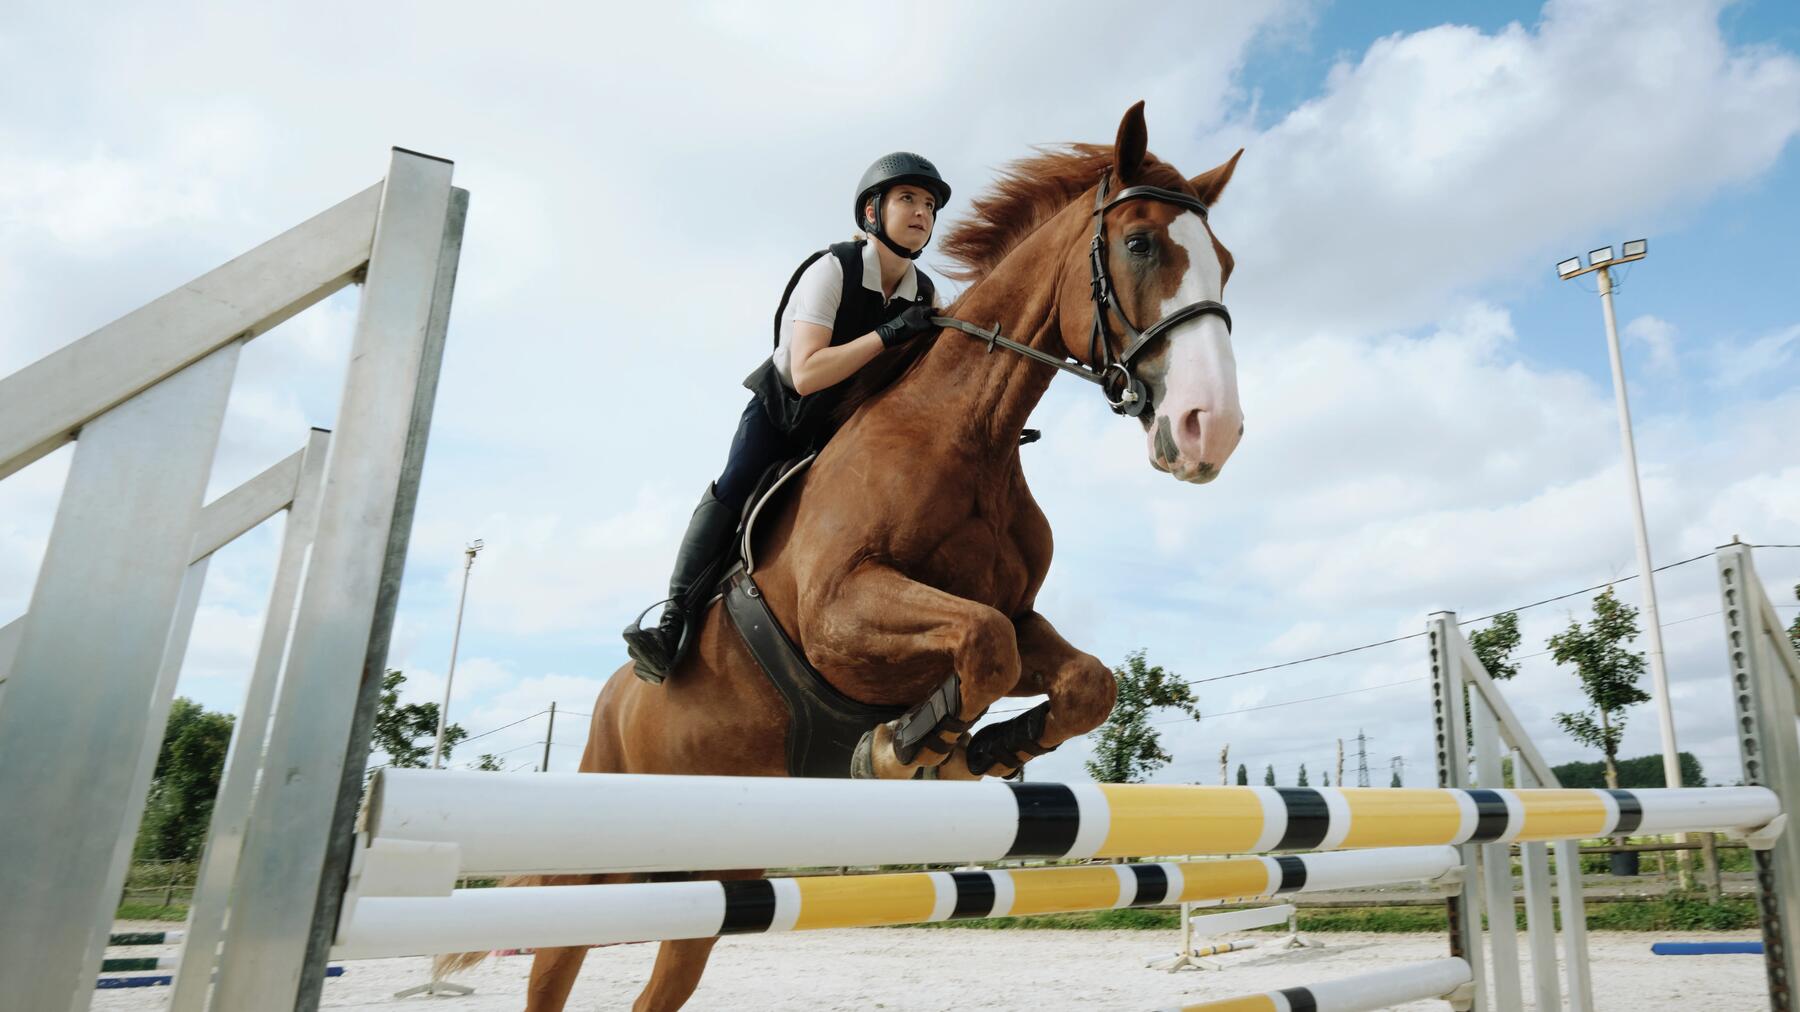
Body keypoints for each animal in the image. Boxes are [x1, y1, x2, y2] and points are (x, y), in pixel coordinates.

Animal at [442, 102, 1245, 1008]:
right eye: (1140, 244)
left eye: (1227, 263)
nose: (1210, 427)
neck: (969, 436)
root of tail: (612, 698)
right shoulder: (841, 614)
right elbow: (983, 647)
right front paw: (903, 747)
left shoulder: (1017, 613)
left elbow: (1080, 680)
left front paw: (983, 750)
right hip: (596, 860)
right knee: (553, 961)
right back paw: (660, 643)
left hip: (713, 873)